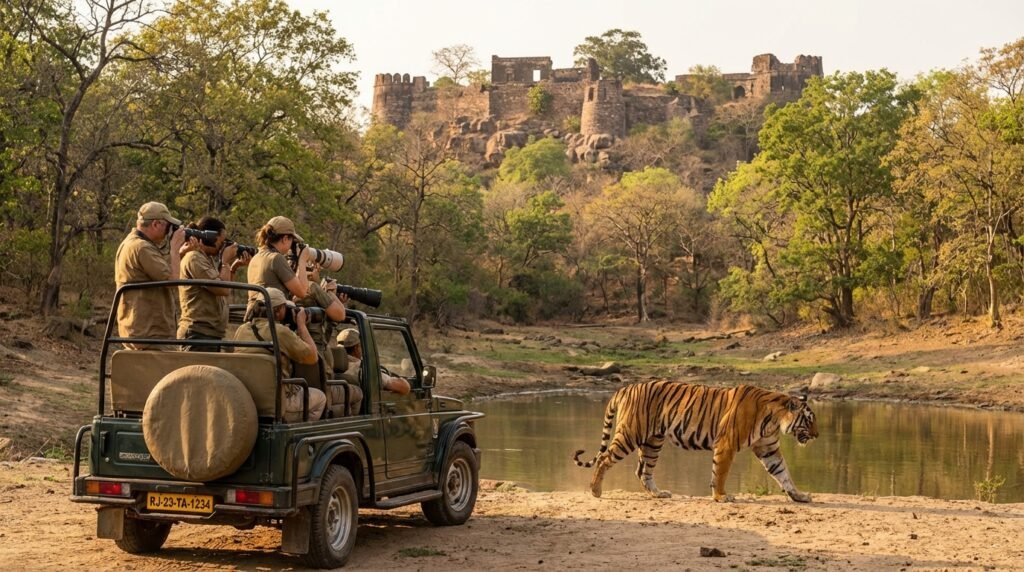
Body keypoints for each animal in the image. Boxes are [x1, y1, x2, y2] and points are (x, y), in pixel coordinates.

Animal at [572, 381, 818, 503]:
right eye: (809, 420)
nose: (817, 435)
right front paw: (721, 496)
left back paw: (658, 494)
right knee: (604, 458)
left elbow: (784, 474)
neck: (774, 419)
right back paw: (595, 491)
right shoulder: (727, 444)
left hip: (653, 441)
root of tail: (625, 387)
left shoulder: (769, 449)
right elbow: (720, 473)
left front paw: (798, 496)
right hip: (630, 434)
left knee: (642, 471)